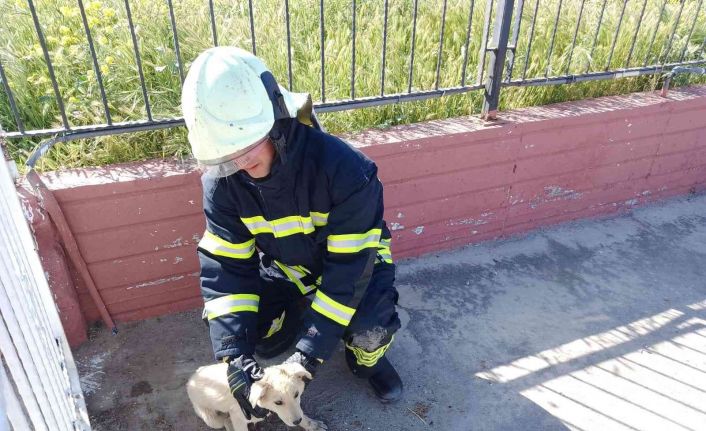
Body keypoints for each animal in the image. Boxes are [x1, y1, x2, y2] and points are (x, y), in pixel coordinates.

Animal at [186, 362, 326, 430]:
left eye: (296, 394)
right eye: (278, 402)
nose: (297, 422)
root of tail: (191, 379)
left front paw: (312, 424)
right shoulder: (238, 417)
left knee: (227, 420)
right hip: (212, 419)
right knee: (224, 421)